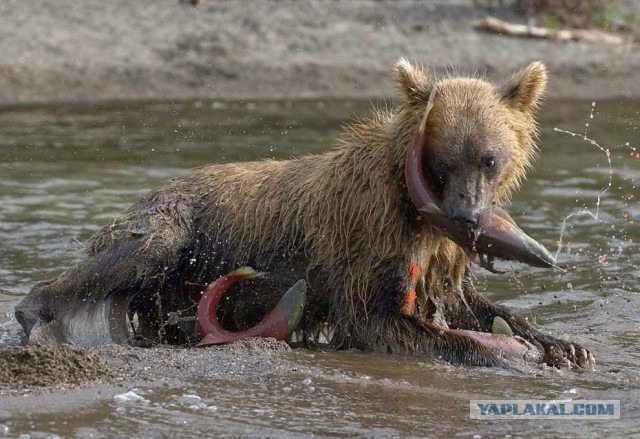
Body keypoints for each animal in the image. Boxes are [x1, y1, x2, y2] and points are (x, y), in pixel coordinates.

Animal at [15, 58, 596, 368]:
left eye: (489, 159)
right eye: (443, 160)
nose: (469, 216)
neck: (411, 206)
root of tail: (151, 189)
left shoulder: (436, 255)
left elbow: (466, 303)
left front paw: (564, 345)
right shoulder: (365, 239)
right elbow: (381, 319)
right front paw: (507, 353)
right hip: (174, 226)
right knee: (124, 259)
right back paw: (32, 315)